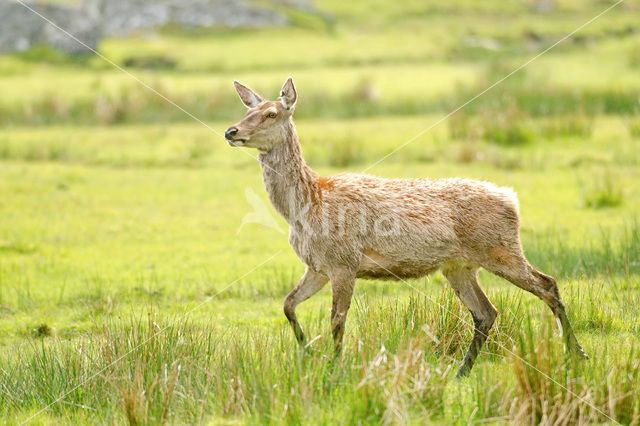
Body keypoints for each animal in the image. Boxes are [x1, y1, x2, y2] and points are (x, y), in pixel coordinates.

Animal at [224, 76, 584, 376]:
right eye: (248, 109)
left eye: (272, 113)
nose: (231, 132)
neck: (305, 206)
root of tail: (512, 199)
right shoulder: (317, 266)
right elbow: (288, 305)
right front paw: (309, 352)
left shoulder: (344, 262)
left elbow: (337, 322)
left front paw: (334, 368)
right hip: (459, 266)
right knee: (486, 312)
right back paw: (462, 371)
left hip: (501, 248)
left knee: (547, 284)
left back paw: (576, 353)